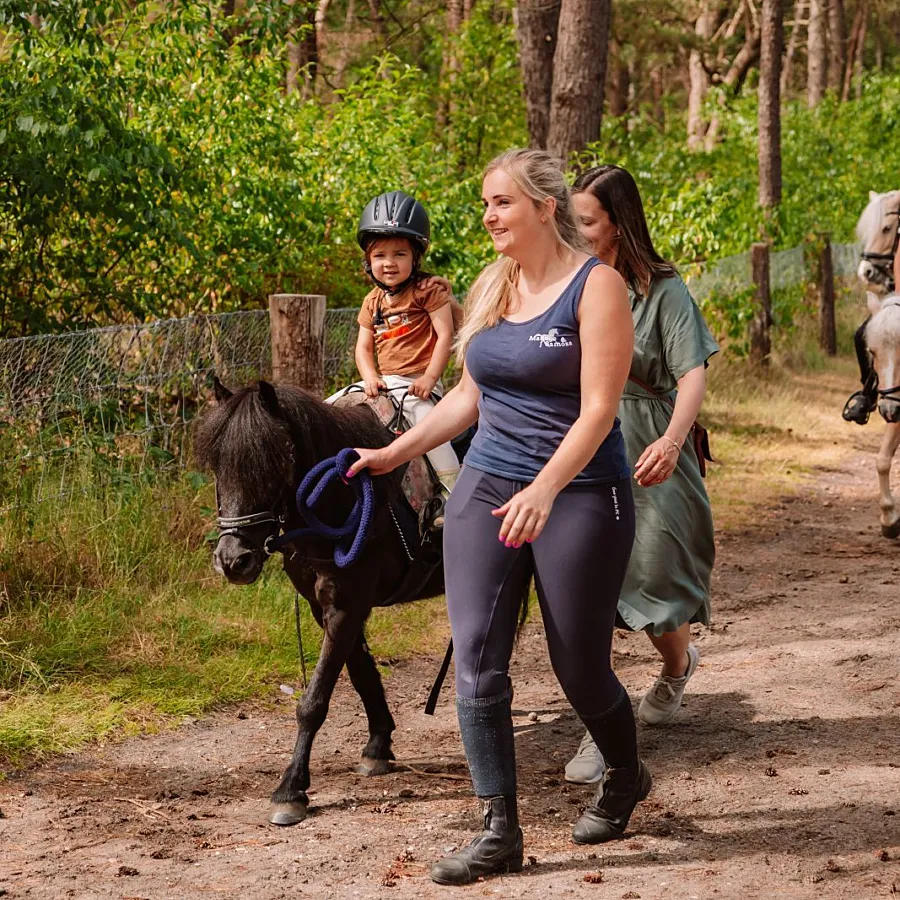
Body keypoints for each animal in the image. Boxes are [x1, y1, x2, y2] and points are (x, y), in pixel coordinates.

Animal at [199, 378, 448, 824]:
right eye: (217, 466)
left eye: (273, 463)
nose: (233, 561)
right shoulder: (329, 610)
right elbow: (362, 674)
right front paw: (377, 747)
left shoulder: (347, 608)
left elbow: (313, 700)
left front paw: (291, 789)